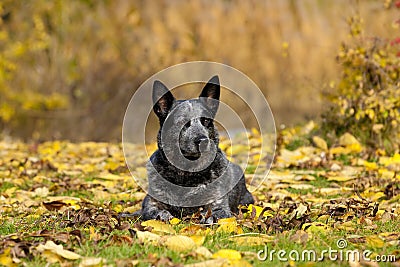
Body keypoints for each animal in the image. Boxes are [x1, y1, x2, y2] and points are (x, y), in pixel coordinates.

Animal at [141, 76, 253, 224]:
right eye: (181, 122)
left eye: (205, 120)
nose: (203, 141)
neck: (186, 172)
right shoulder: (150, 204)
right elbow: (155, 212)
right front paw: (164, 216)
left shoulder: (220, 207)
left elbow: (214, 214)